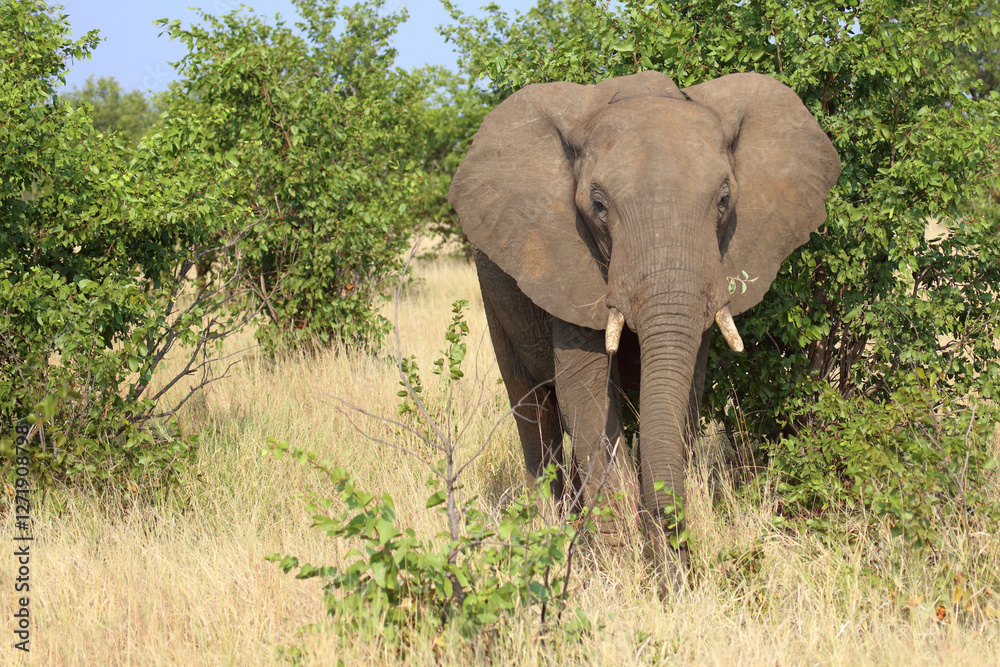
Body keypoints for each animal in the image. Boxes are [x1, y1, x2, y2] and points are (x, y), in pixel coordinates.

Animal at [448, 70, 840, 577]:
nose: (677, 573)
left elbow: (685, 390)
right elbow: (586, 396)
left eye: (724, 200)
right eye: (598, 206)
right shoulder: (568, 262)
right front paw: (612, 570)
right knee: (533, 410)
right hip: (495, 292)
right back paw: (548, 533)